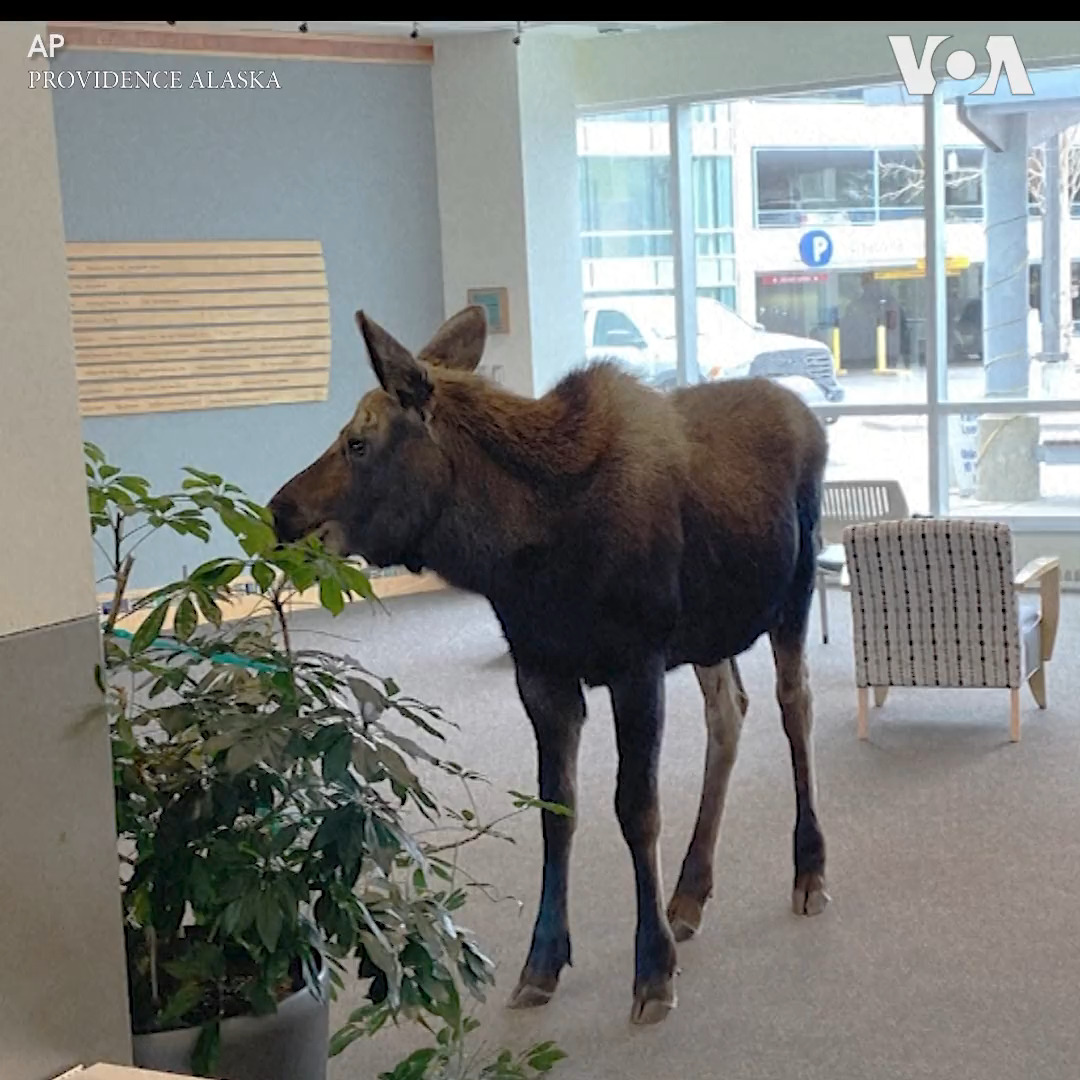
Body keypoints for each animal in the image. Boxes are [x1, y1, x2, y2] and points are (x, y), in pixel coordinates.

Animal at [268, 304, 830, 1026]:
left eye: (358, 443)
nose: (280, 511)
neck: (524, 553)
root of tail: (807, 412)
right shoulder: (541, 672)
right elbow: (555, 809)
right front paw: (542, 962)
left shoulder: (636, 662)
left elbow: (636, 808)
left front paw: (652, 970)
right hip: (711, 633)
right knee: (730, 712)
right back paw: (690, 891)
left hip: (794, 590)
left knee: (795, 705)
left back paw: (808, 869)